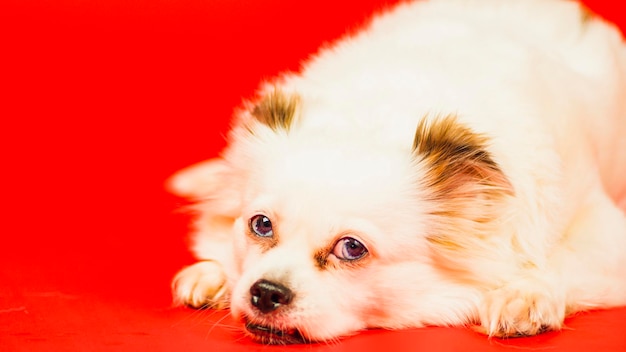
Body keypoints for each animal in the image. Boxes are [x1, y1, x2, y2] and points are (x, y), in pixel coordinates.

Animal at [167, 0, 624, 346]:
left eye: (352, 248)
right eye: (261, 225)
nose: (265, 292)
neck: (376, 117)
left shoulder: (607, 234)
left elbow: (560, 261)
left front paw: (525, 294)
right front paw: (215, 273)